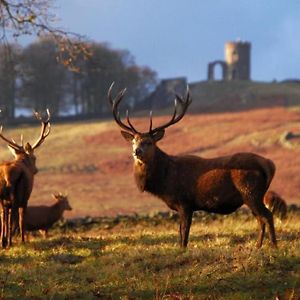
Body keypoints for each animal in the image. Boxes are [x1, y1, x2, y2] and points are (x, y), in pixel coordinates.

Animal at [0, 110, 50, 248]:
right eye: (34, 157)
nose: (36, 170)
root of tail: (6, 177)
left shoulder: (6, 203)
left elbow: (5, 218)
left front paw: (4, 240)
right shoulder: (26, 198)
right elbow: (22, 219)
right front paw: (23, 240)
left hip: (2, 197)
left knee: (4, 217)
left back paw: (4, 242)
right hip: (17, 194)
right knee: (15, 217)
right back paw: (11, 242)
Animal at [107, 83, 276, 247]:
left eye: (149, 142)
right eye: (133, 141)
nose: (137, 151)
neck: (165, 181)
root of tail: (269, 164)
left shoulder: (185, 202)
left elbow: (184, 234)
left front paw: (182, 250)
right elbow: (181, 233)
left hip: (250, 192)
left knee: (268, 215)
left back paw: (274, 246)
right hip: (253, 196)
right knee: (260, 219)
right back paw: (258, 246)